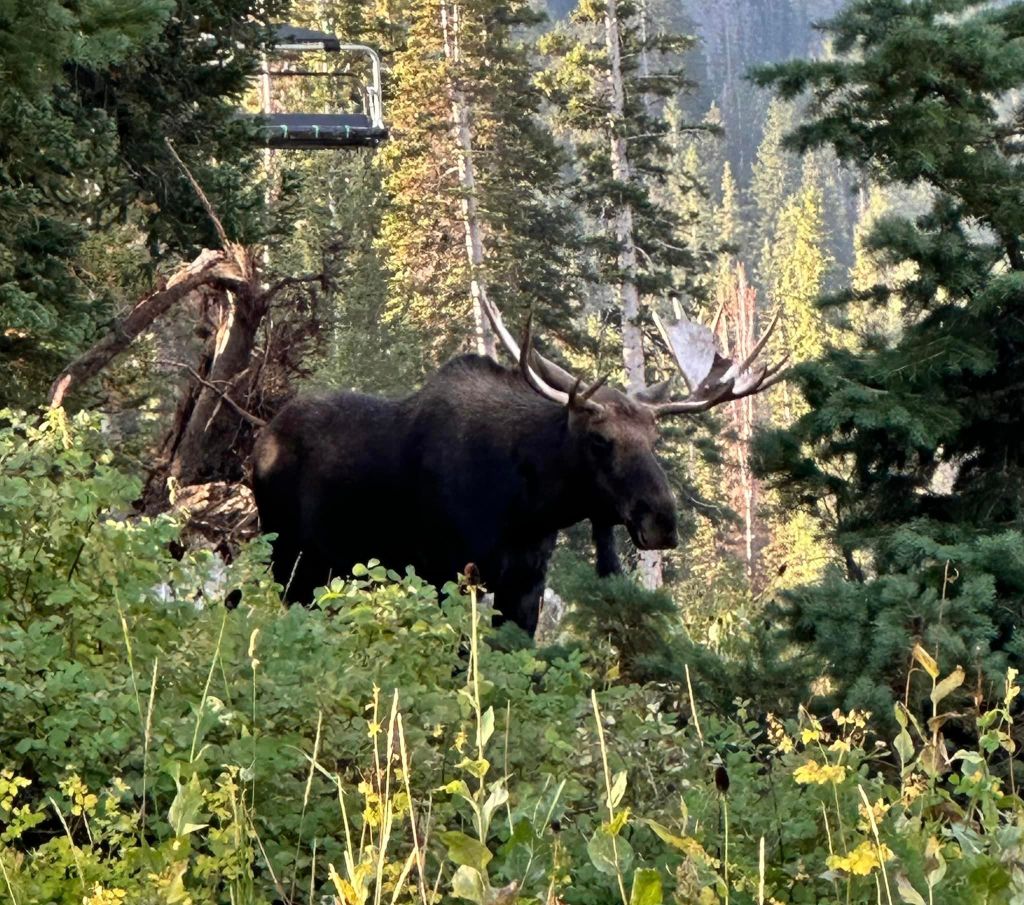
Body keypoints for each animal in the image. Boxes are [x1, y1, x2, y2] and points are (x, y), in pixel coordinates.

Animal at [251, 297, 784, 634]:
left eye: (655, 438)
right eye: (599, 440)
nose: (662, 521)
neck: (528, 508)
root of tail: (261, 442)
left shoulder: (527, 584)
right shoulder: (445, 572)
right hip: (290, 560)